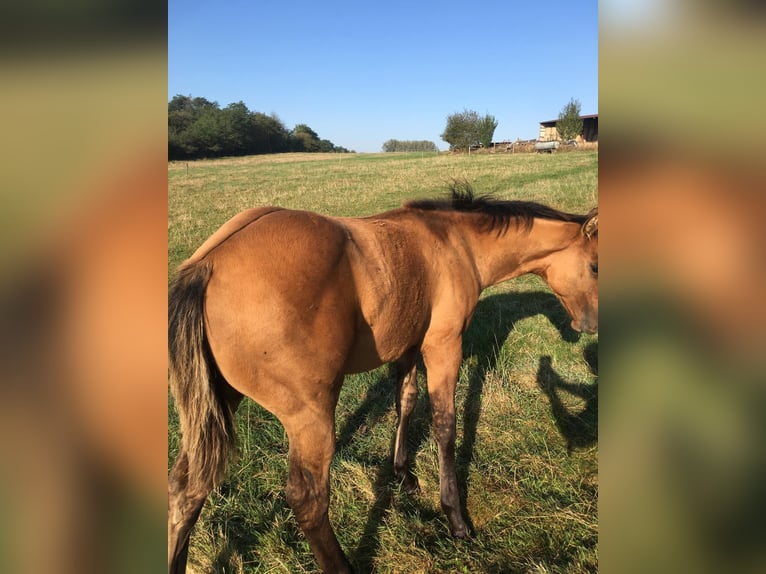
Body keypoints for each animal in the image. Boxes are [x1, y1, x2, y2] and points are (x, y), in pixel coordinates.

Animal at [170, 186, 600, 574]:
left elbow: (405, 401)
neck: (454, 241)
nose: (590, 325)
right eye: (596, 266)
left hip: (217, 406)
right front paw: (455, 517)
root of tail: (208, 264)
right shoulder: (444, 346)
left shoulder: (408, 345)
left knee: (187, 490)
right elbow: (445, 425)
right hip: (309, 416)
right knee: (307, 500)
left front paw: (404, 475)